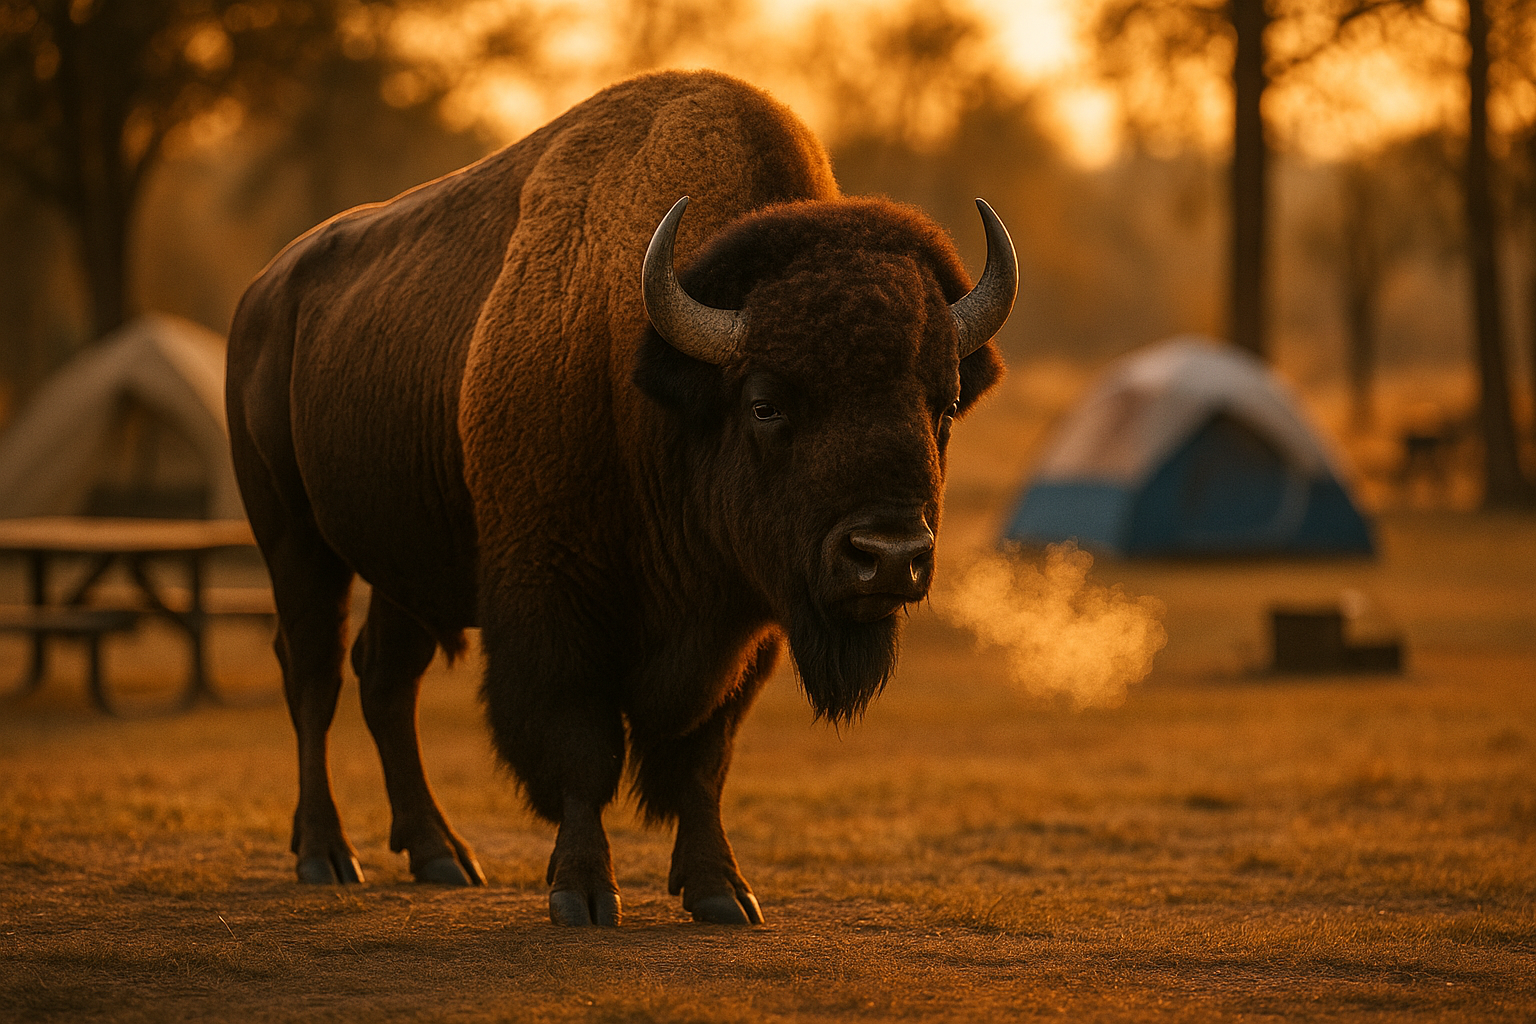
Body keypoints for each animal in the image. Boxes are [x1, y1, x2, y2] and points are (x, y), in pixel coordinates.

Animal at [226, 69, 1015, 926]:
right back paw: (325, 854)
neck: (653, 384)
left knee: (385, 682)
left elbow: (702, 760)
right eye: (766, 403)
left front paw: (721, 892)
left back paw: (440, 855)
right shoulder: (556, 603)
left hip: (405, 568)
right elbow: (583, 749)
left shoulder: (747, 626)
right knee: (315, 678)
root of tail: (263, 294)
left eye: (943, 406)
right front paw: (581, 892)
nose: (890, 557)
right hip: (295, 543)